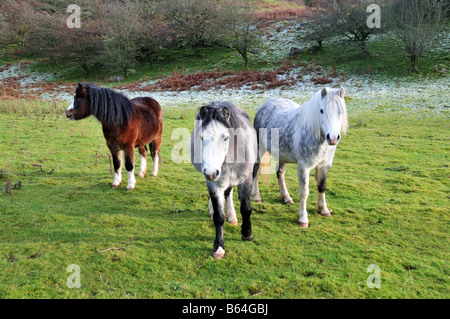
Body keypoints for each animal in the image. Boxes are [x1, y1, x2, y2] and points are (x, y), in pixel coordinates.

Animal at [253, 87, 348, 228]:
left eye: (340, 111)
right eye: (321, 110)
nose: (333, 138)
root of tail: (264, 105)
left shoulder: (324, 166)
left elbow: (322, 186)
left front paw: (324, 210)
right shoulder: (304, 167)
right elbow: (304, 192)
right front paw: (303, 219)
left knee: (280, 173)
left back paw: (286, 198)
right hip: (260, 148)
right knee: (256, 171)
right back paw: (256, 197)